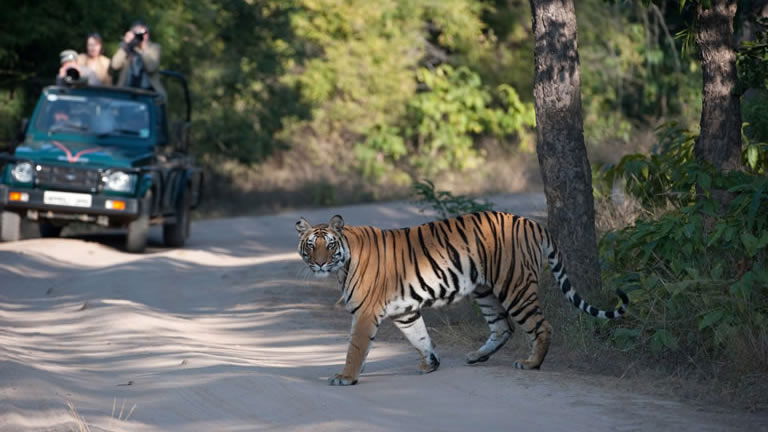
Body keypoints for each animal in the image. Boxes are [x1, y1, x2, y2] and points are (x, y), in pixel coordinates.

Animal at [295, 211, 628, 386]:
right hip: (486, 291)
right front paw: (431, 364)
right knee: (503, 327)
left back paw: (531, 363)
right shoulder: (405, 311)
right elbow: (420, 337)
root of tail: (532, 222)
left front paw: (345, 376)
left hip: (515, 286)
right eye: (311, 246)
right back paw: (476, 356)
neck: (344, 261)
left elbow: (356, 348)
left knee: (540, 326)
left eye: (329, 245)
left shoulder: (365, 312)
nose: (320, 264)